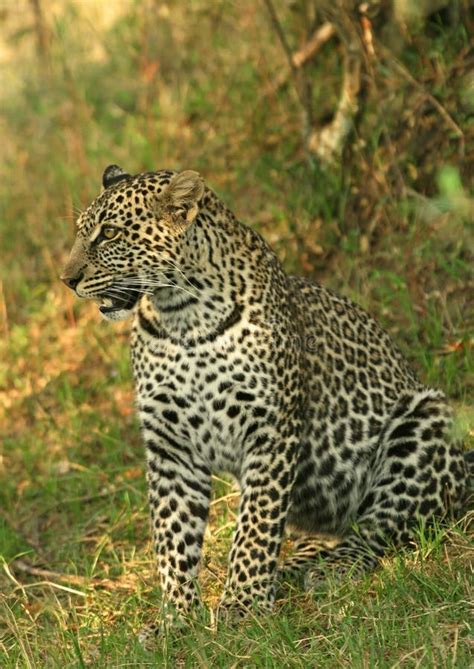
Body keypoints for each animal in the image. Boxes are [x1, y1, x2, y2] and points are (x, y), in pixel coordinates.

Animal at [61, 165, 471, 638]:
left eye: (109, 233)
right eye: (81, 232)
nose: (67, 280)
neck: (181, 316)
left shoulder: (270, 428)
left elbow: (256, 525)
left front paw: (243, 604)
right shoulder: (171, 446)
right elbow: (173, 539)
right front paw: (175, 621)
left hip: (425, 419)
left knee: (379, 525)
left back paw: (335, 566)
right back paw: (294, 565)